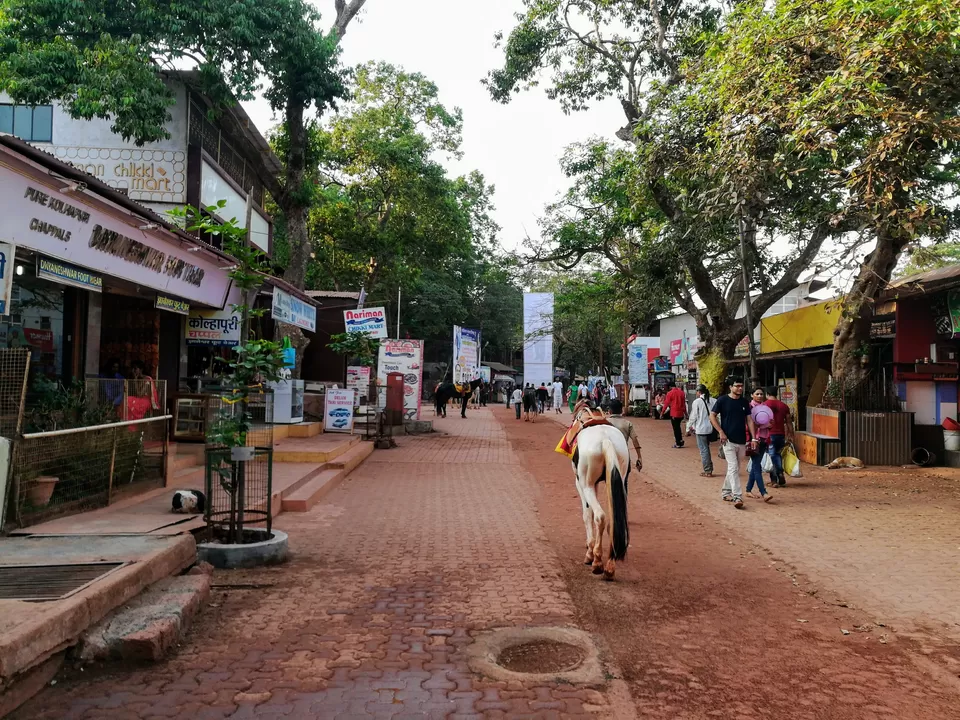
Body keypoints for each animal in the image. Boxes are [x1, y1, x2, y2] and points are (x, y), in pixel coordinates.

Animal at [568, 424, 632, 584]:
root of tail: (605, 439)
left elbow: (587, 515)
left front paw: (589, 552)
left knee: (600, 516)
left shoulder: (580, 483)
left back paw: (597, 561)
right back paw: (610, 567)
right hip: (619, 480)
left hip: (587, 485)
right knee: (613, 522)